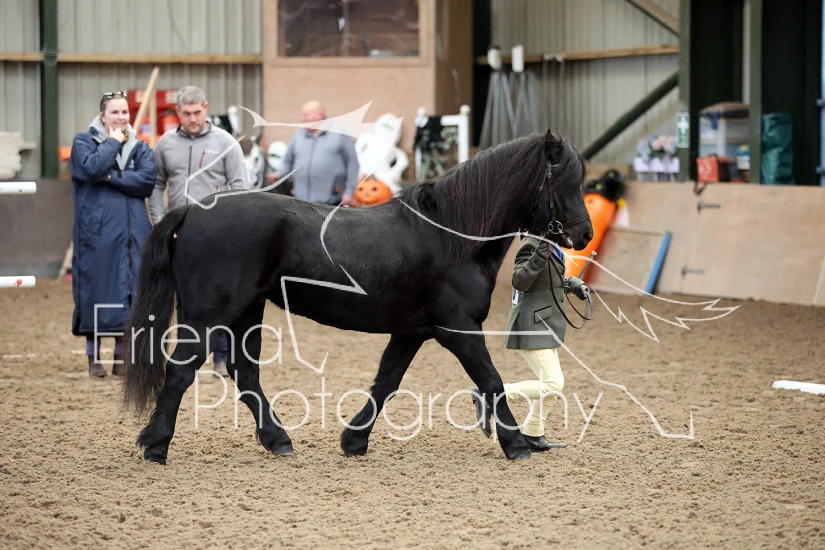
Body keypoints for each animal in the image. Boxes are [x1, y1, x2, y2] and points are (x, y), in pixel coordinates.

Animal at [122, 130, 593, 464]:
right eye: (567, 182)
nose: (585, 235)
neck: (450, 235)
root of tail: (193, 209)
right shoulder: (458, 329)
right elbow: (491, 382)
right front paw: (517, 445)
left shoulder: (411, 333)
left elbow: (386, 384)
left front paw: (353, 440)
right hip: (210, 314)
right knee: (182, 372)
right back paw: (156, 446)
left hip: (247, 311)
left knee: (245, 374)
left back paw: (278, 440)